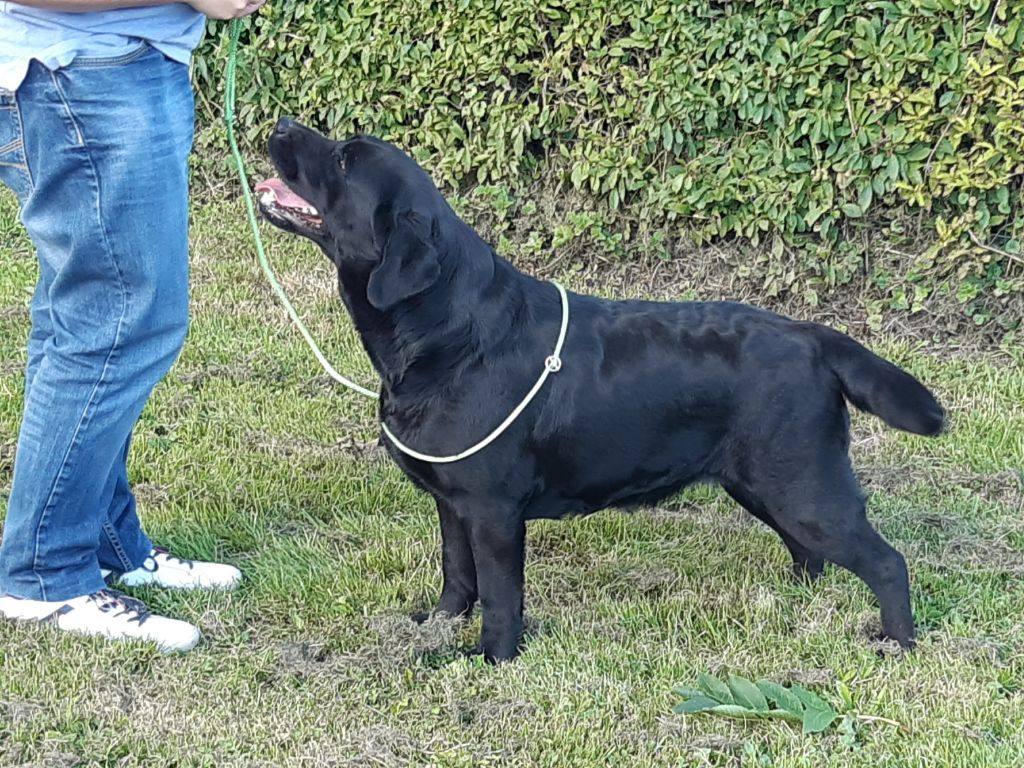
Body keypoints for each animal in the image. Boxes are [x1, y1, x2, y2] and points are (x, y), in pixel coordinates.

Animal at [258, 117, 942, 663]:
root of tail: (813, 337)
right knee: (810, 552)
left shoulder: (493, 509)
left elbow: (500, 593)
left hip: (804, 485)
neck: (447, 331)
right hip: (765, 485)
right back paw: (797, 601)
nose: (282, 124)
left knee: (885, 562)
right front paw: (440, 623)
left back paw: (897, 643)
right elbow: (457, 571)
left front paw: (492, 656)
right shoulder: (451, 503)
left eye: (343, 160)